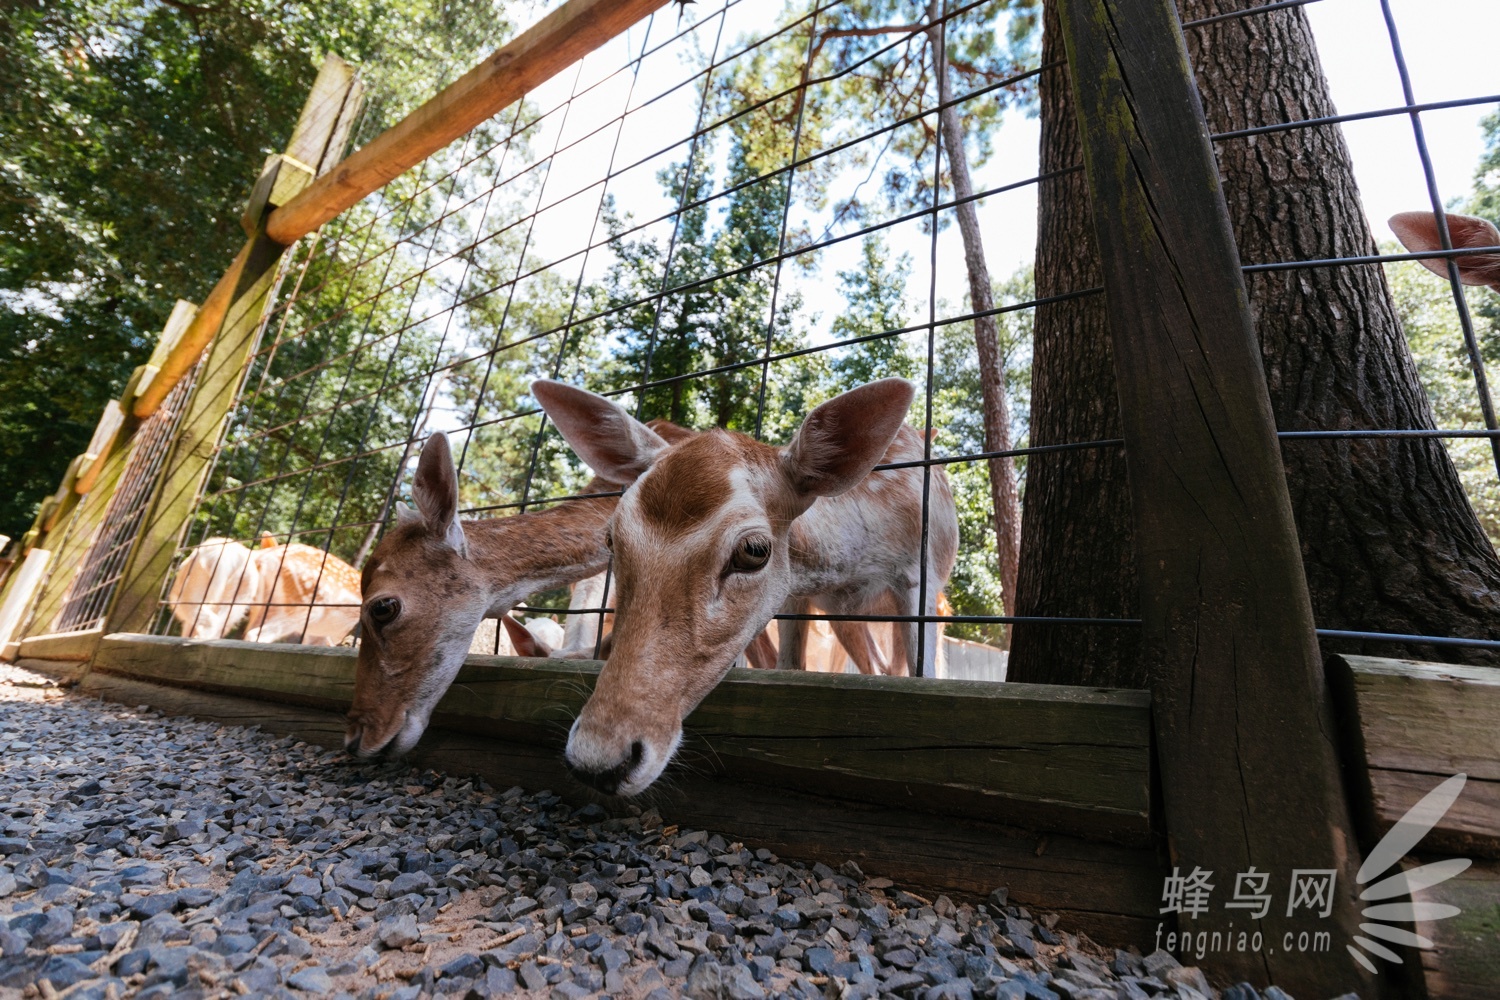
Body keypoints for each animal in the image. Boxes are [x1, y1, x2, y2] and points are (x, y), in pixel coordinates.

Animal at [537, 377, 960, 797]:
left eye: (754, 551)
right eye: (611, 539)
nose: (597, 760)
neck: (851, 558)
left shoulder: (920, 578)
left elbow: (925, 673)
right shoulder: (799, 596)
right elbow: (790, 665)